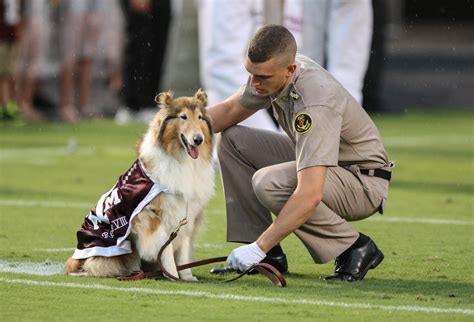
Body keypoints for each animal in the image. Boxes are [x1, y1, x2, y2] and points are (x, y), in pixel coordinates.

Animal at [64, 89, 215, 280]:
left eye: (200, 117)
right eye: (183, 117)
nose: (198, 139)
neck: (181, 158)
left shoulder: (188, 214)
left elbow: (184, 248)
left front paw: (187, 277)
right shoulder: (152, 217)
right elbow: (164, 247)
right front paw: (172, 275)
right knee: (95, 266)